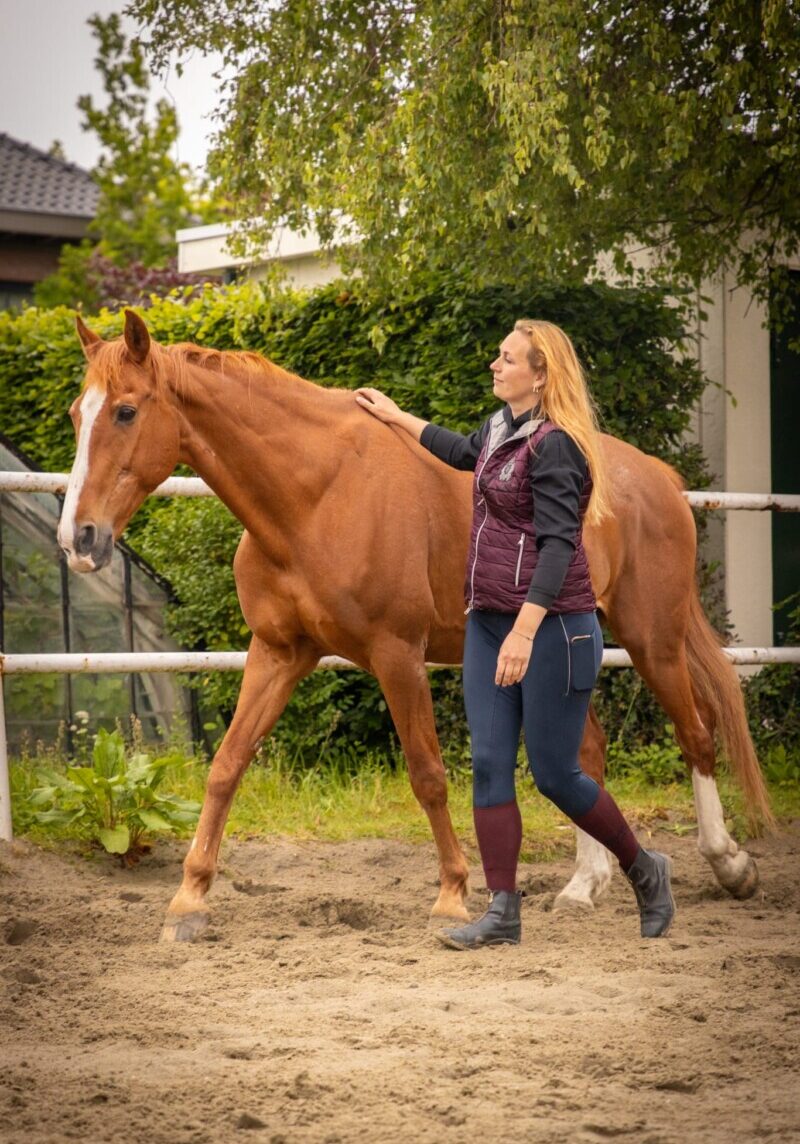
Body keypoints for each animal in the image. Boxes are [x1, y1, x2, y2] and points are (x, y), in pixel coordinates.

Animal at [58, 310, 772, 942]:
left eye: (126, 411)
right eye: (74, 415)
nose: (78, 538)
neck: (316, 494)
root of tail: (659, 477)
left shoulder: (397, 655)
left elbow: (428, 774)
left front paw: (454, 894)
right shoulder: (278, 653)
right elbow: (227, 766)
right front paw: (188, 901)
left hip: (652, 640)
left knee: (697, 734)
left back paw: (729, 863)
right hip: (562, 647)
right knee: (583, 755)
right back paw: (583, 886)